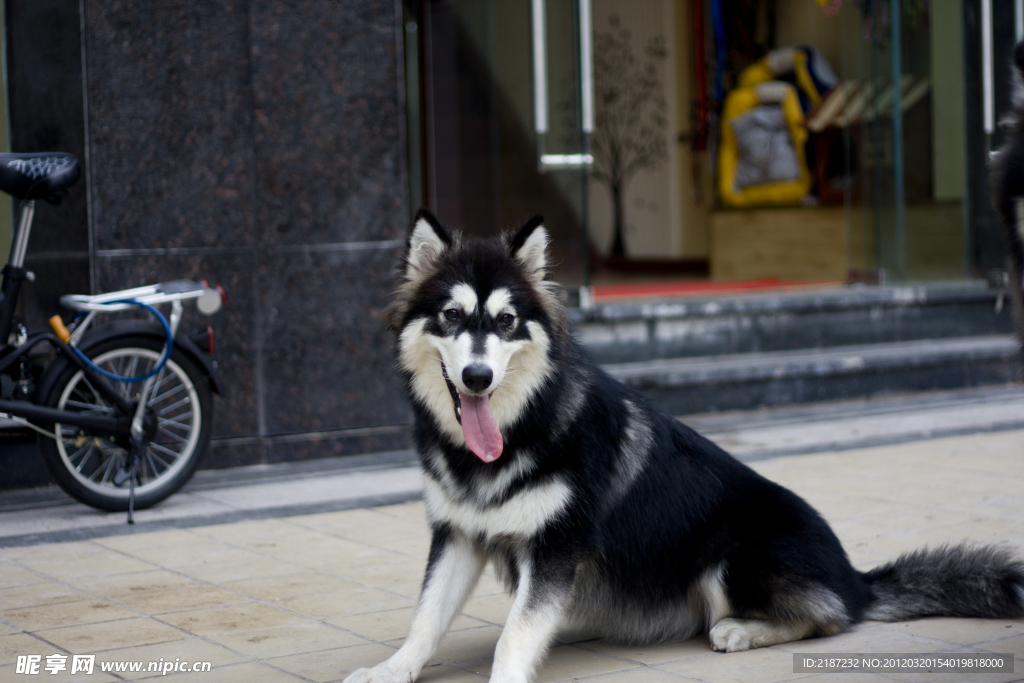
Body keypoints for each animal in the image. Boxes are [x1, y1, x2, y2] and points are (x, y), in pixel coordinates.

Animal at [344, 209, 1024, 683]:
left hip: (731, 552)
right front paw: (393, 669)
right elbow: (426, 617)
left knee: (828, 616)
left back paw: (744, 631)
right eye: (453, 318)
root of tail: (857, 577)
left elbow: (516, 635)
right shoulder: (458, 532)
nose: (478, 377)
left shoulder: (556, 548)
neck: (519, 427)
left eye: (507, 322)